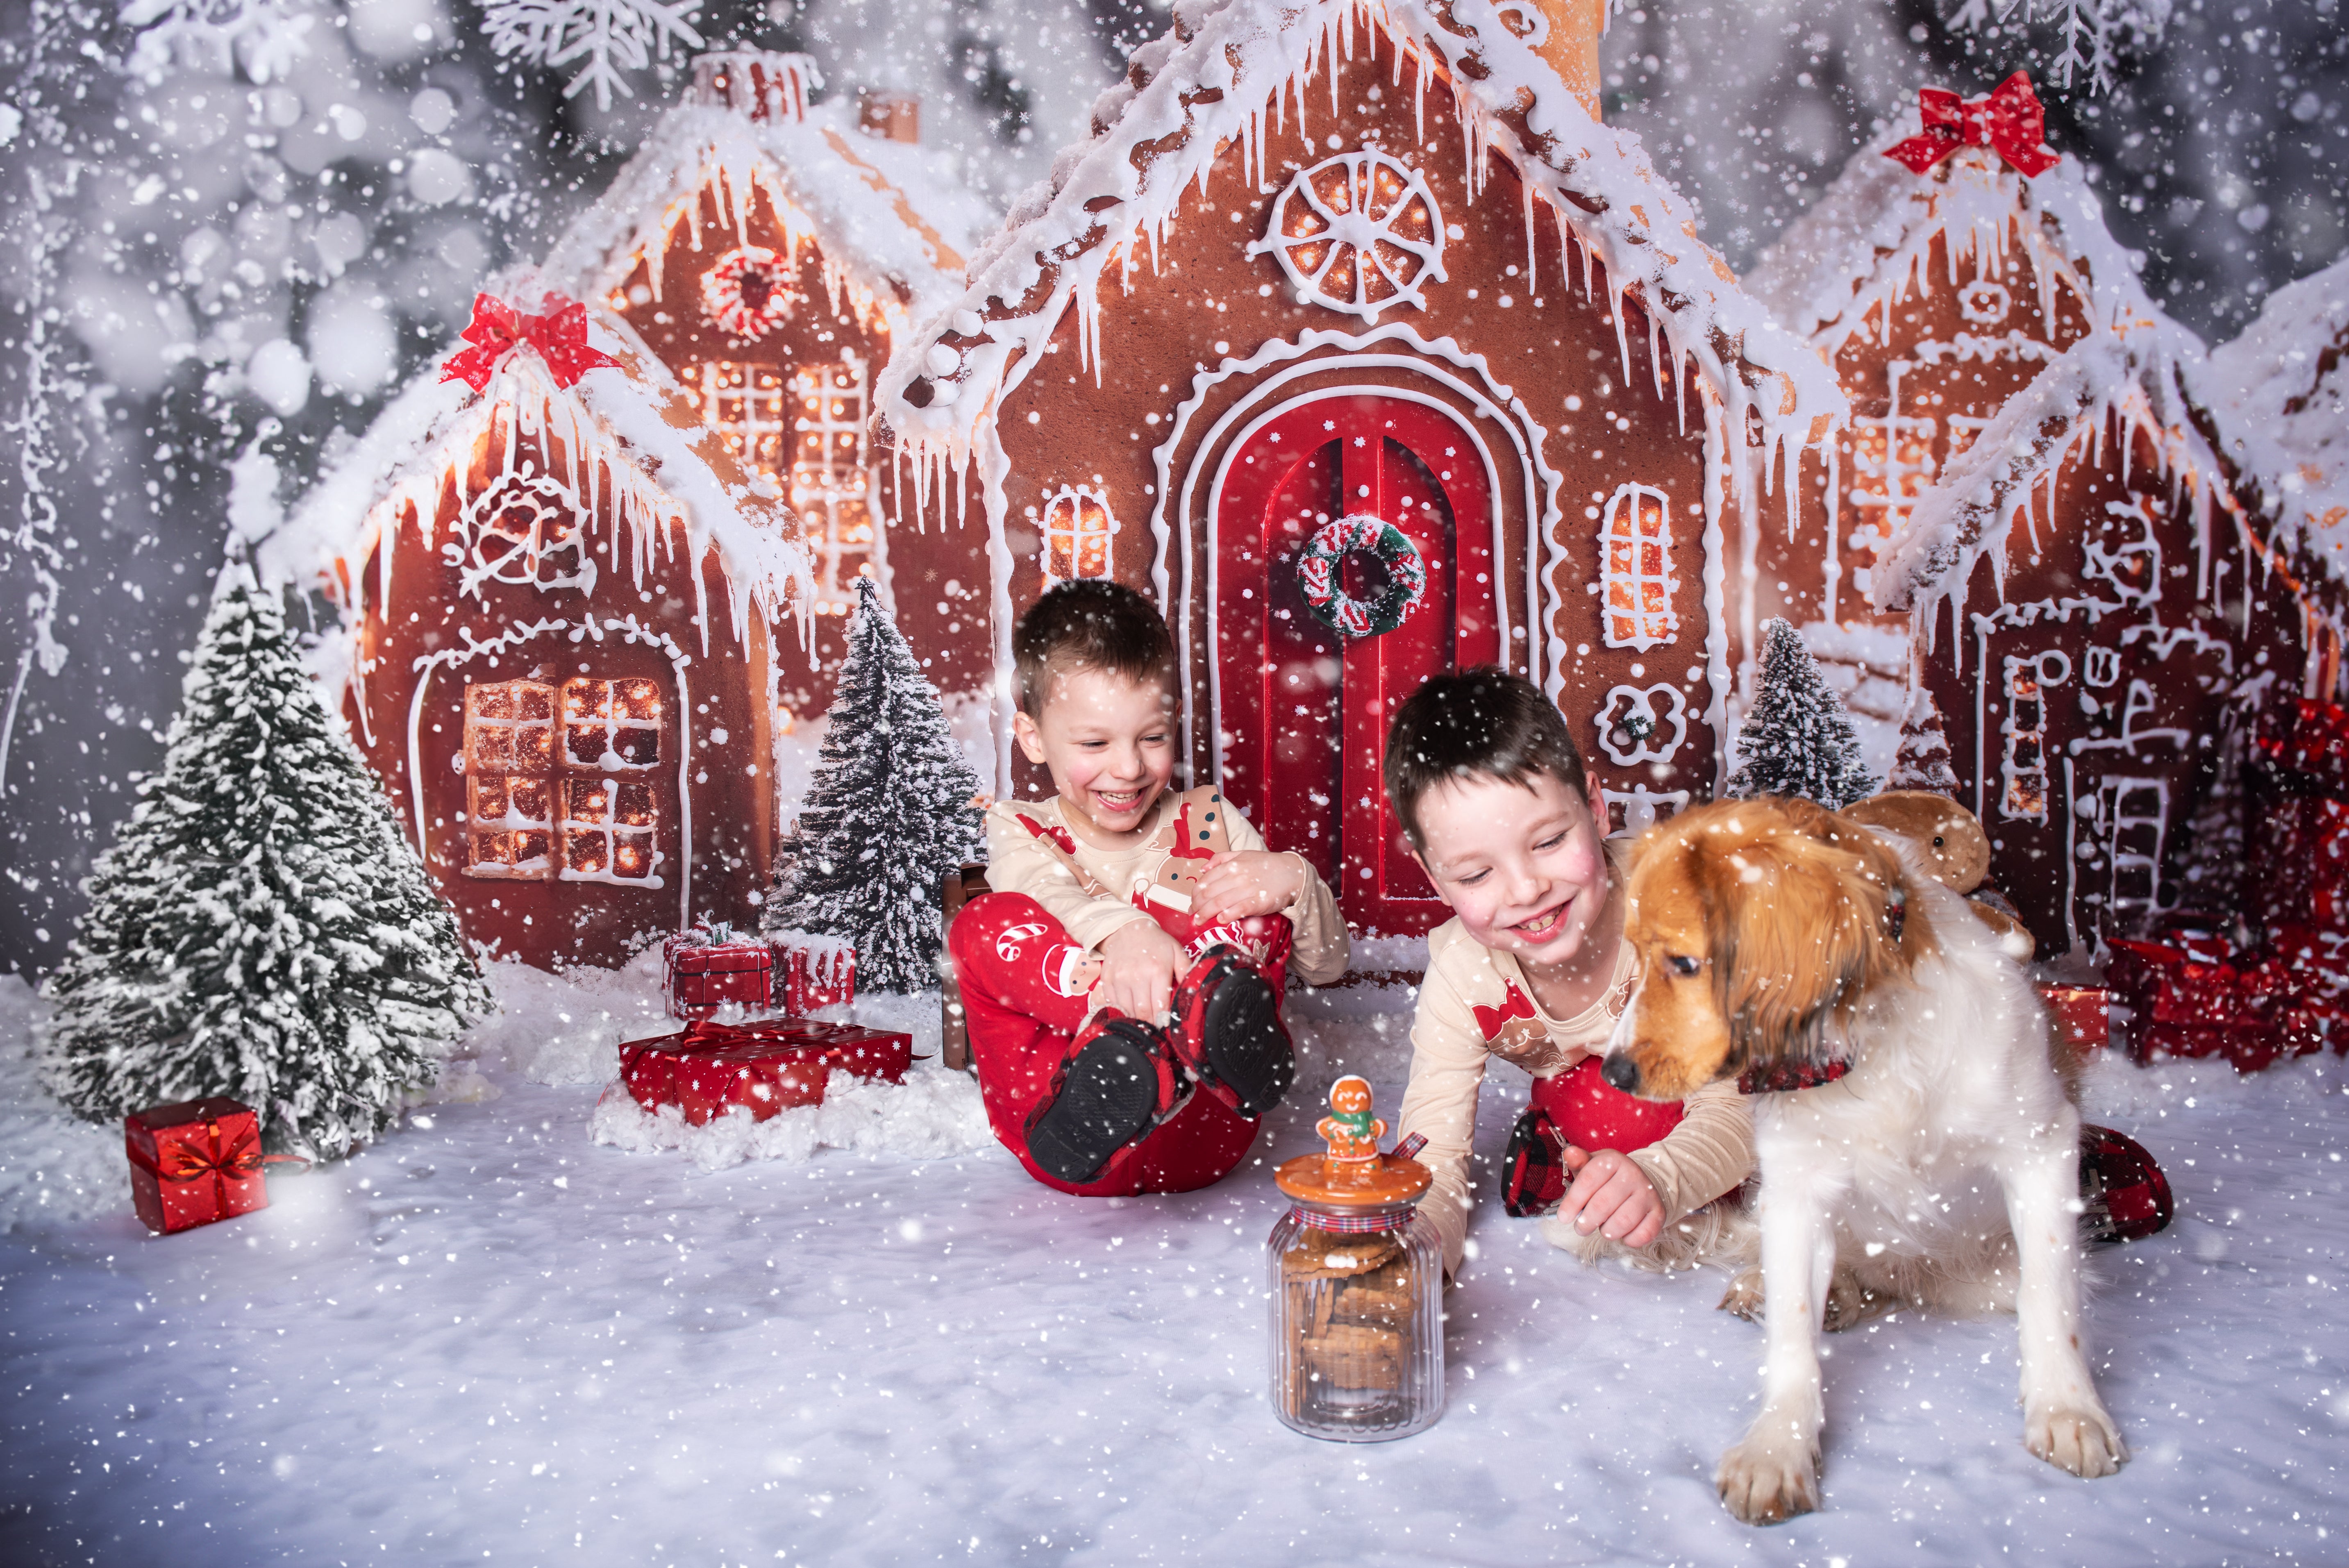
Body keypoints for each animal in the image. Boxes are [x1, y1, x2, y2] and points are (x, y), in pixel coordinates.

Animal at [1597, 799, 2133, 1523]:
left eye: (1683, 962)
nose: (1614, 1073)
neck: (1872, 1044)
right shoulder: (1797, 1188)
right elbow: (1793, 1331)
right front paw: (1778, 1449)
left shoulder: (2042, 1146)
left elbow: (2049, 1297)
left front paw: (2067, 1410)